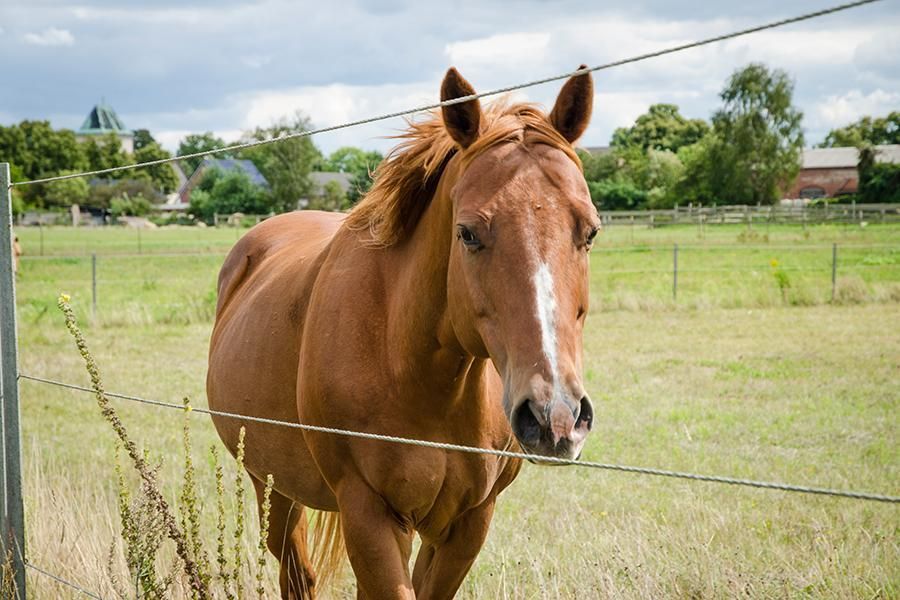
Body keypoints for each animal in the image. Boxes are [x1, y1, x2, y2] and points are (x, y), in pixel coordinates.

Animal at [207, 65, 599, 599]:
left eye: (591, 231)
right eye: (467, 233)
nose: (554, 416)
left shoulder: (468, 523)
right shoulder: (368, 513)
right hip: (273, 487)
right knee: (296, 573)